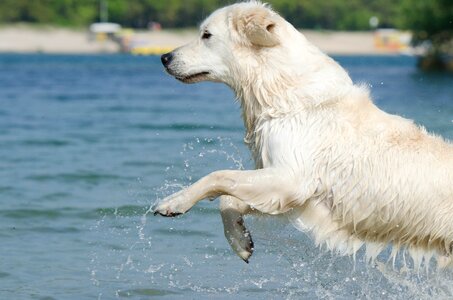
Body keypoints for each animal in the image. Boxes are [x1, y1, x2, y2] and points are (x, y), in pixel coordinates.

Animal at [153, 0, 452, 268]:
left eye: (206, 35)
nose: (164, 58)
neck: (279, 87)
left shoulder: (291, 177)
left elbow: (219, 176)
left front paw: (173, 202)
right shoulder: (292, 193)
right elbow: (228, 198)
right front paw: (240, 240)